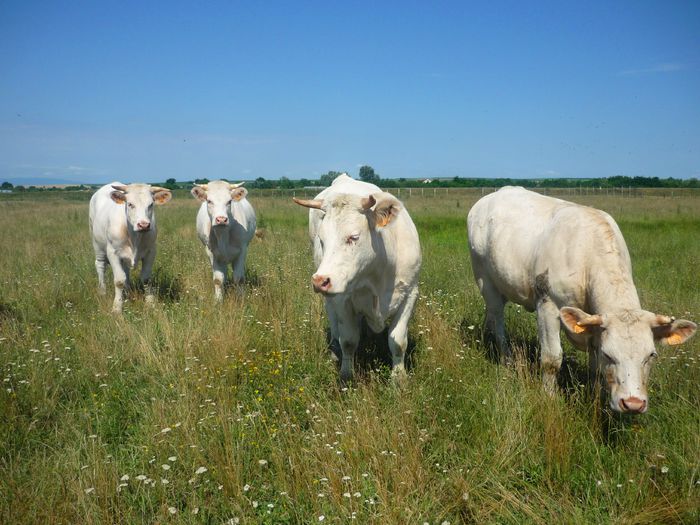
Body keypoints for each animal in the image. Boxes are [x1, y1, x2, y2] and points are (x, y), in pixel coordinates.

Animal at [89, 181, 173, 312]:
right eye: (130, 204)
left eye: (151, 204)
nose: (144, 225)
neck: (134, 236)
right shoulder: (113, 253)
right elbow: (119, 280)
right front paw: (117, 308)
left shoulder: (151, 251)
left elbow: (146, 278)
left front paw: (150, 303)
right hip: (97, 244)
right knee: (100, 265)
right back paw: (102, 291)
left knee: (126, 270)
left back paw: (127, 291)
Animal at [294, 172, 422, 380]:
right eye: (322, 240)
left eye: (353, 237)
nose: (320, 281)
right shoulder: (342, 300)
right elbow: (348, 341)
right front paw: (346, 375)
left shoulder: (410, 293)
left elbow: (398, 341)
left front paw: (399, 378)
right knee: (335, 324)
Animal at [468, 186, 696, 412]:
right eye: (609, 354)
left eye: (651, 355)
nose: (633, 403)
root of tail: (491, 196)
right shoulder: (548, 305)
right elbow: (552, 358)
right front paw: (549, 398)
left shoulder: (594, 323)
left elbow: (595, 368)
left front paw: (594, 397)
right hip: (484, 280)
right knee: (498, 320)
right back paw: (506, 358)